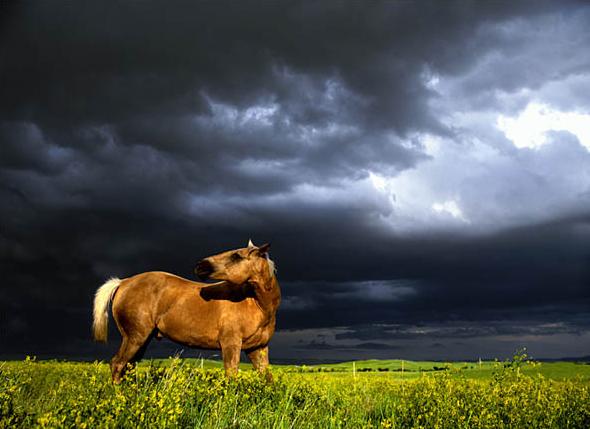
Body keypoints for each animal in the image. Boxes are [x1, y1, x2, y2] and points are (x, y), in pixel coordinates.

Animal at [92, 239, 282, 382]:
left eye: (236, 256)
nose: (200, 266)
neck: (256, 304)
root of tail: (123, 282)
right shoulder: (231, 345)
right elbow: (231, 377)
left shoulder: (257, 348)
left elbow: (267, 378)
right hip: (134, 338)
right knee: (117, 364)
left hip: (141, 341)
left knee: (128, 366)